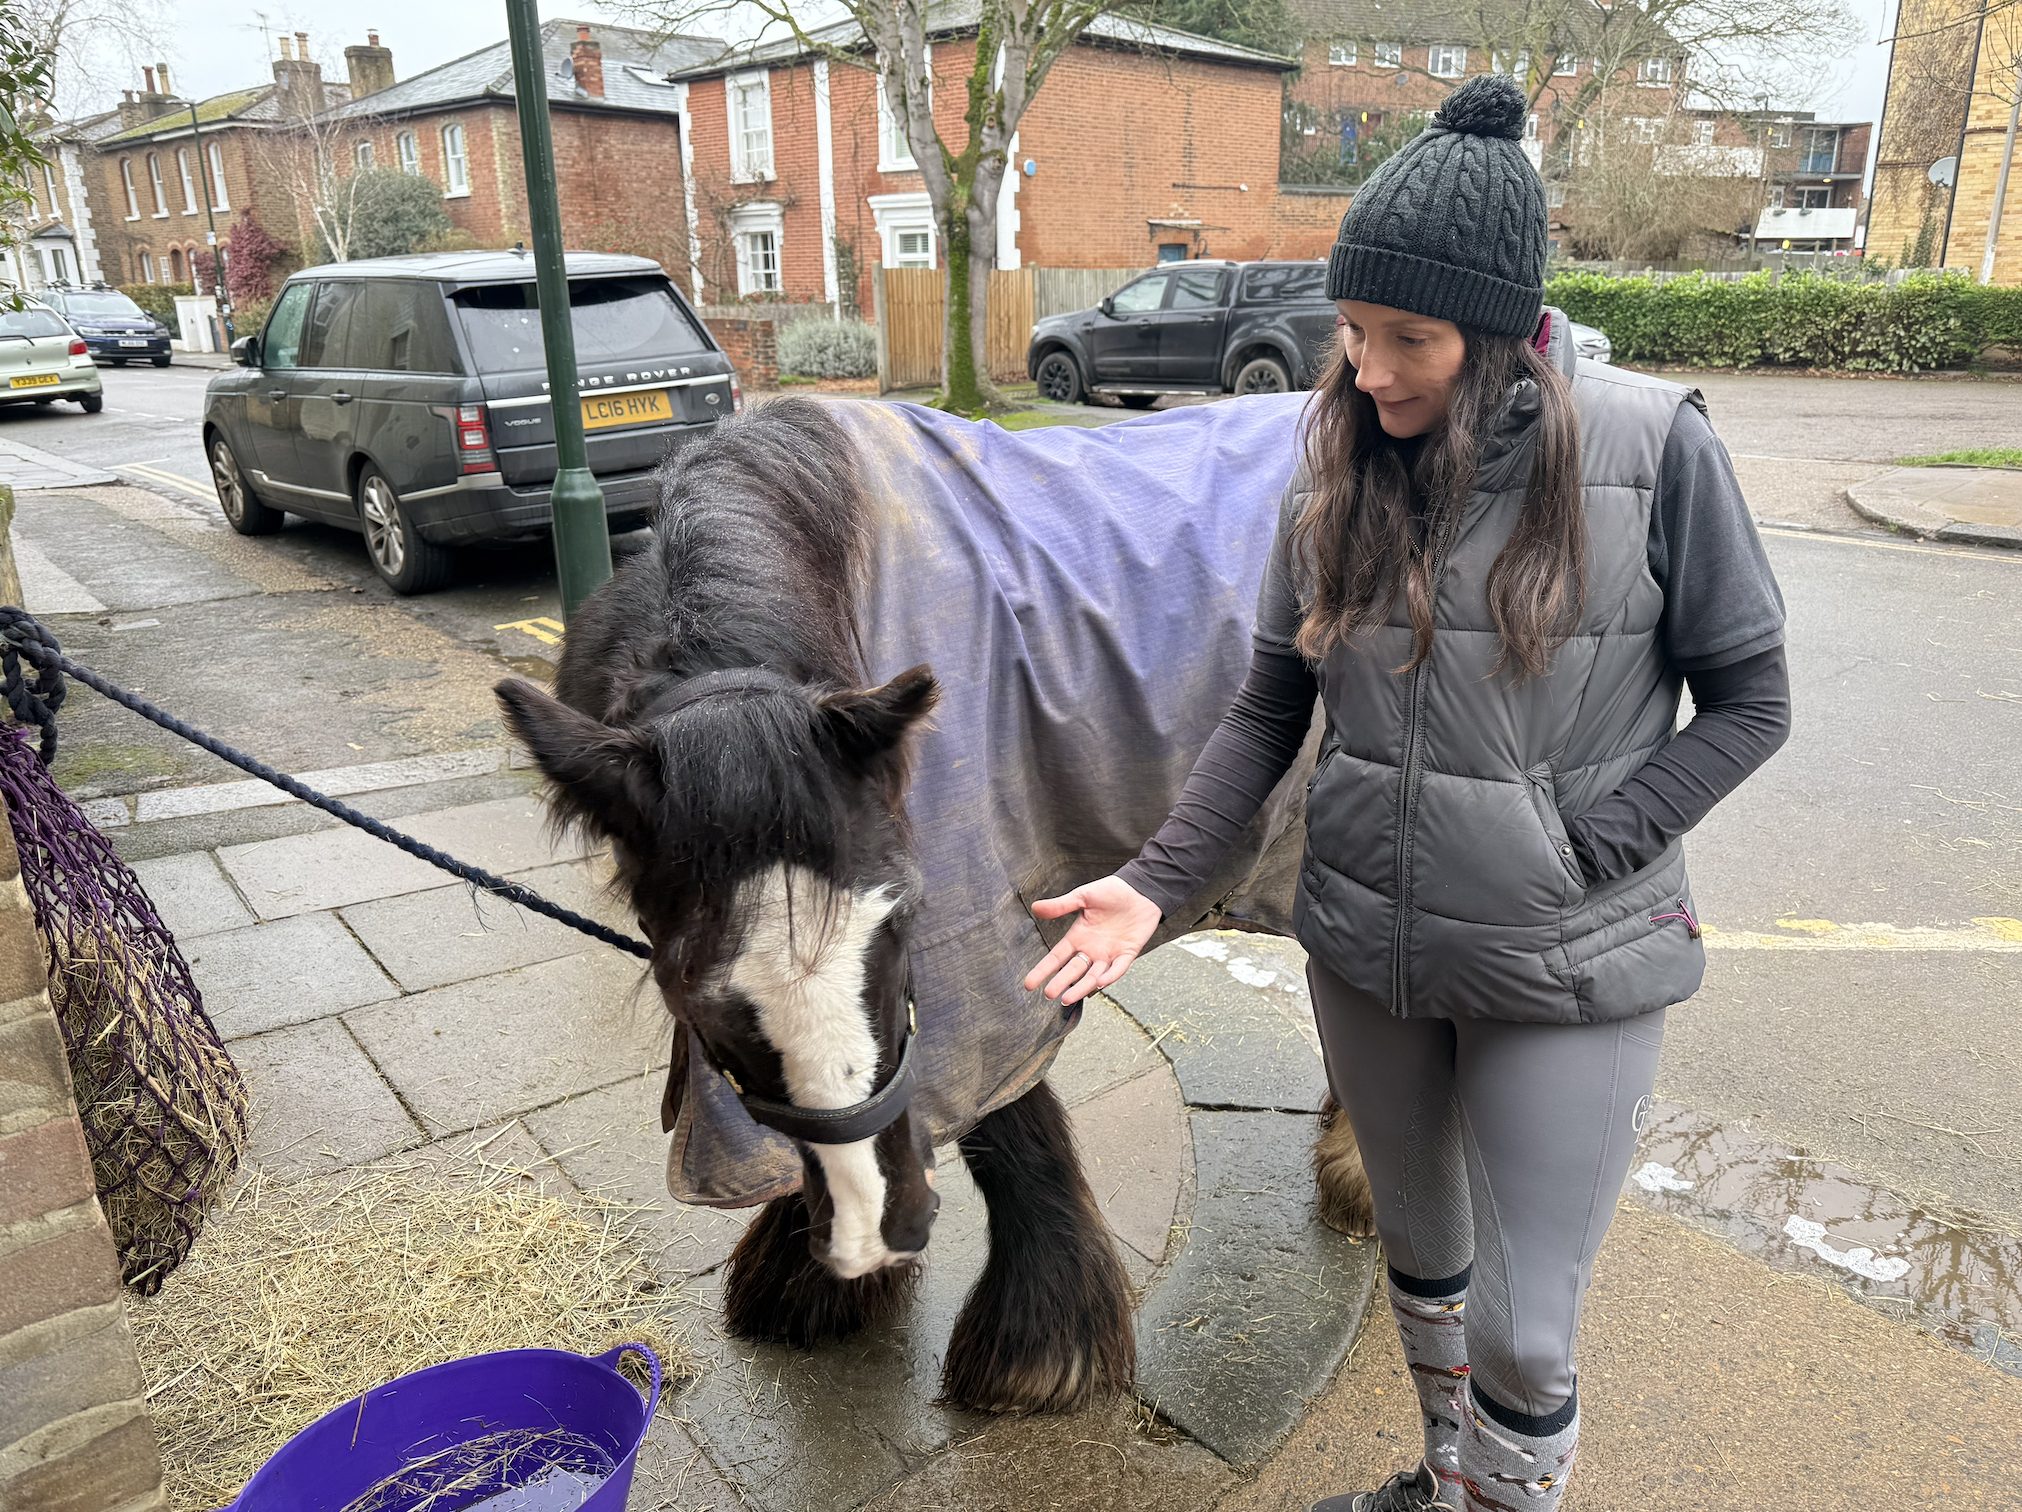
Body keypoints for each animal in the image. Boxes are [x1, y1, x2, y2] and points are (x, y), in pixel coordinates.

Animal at [497, 394, 1372, 1415]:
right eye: (689, 987)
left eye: (904, 920)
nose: (878, 1230)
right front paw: (815, 1278)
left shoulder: (984, 953)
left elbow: (1002, 1119)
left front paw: (1038, 1350)